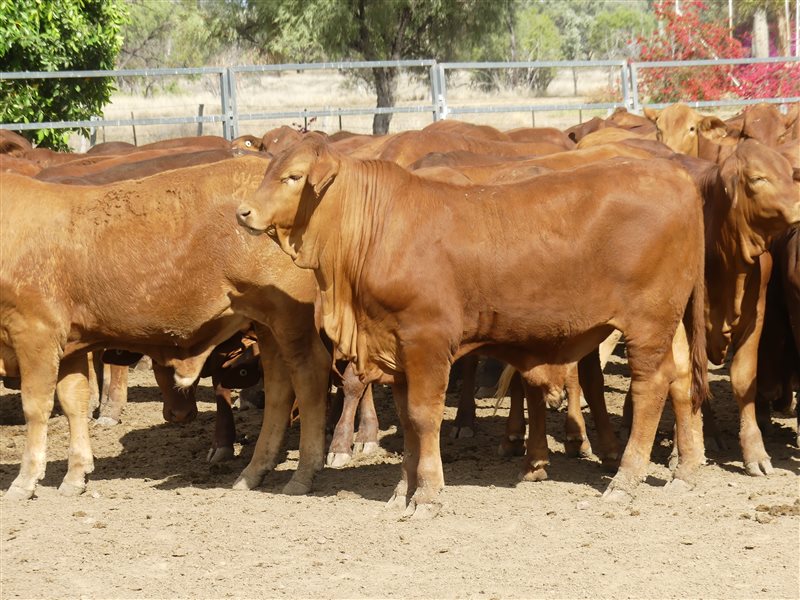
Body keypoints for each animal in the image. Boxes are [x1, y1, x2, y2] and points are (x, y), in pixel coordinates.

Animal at [0, 152, 332, 500]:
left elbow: (36, 407)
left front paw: (25, 480)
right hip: (266, 322)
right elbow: (73, 403)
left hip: (291, 317)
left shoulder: (36, 331)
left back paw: (304, 471)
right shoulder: (70, 343)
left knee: (309, 375)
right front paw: (75, 475)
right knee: (280, 384)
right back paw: (254, 471)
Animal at [238, 137, 708, 516]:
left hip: (647, 323)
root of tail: (675, 176)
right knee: (682, 380)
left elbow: (423, 417)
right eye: (269, 169)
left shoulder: (426, 342)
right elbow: (407, 422)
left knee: (651, 387)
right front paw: (401, 492)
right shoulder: (397, 349)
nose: (243, 212)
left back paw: (624, 481)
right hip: (672, 323)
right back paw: (685, 471)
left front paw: (427, 495)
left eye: (293, 176)